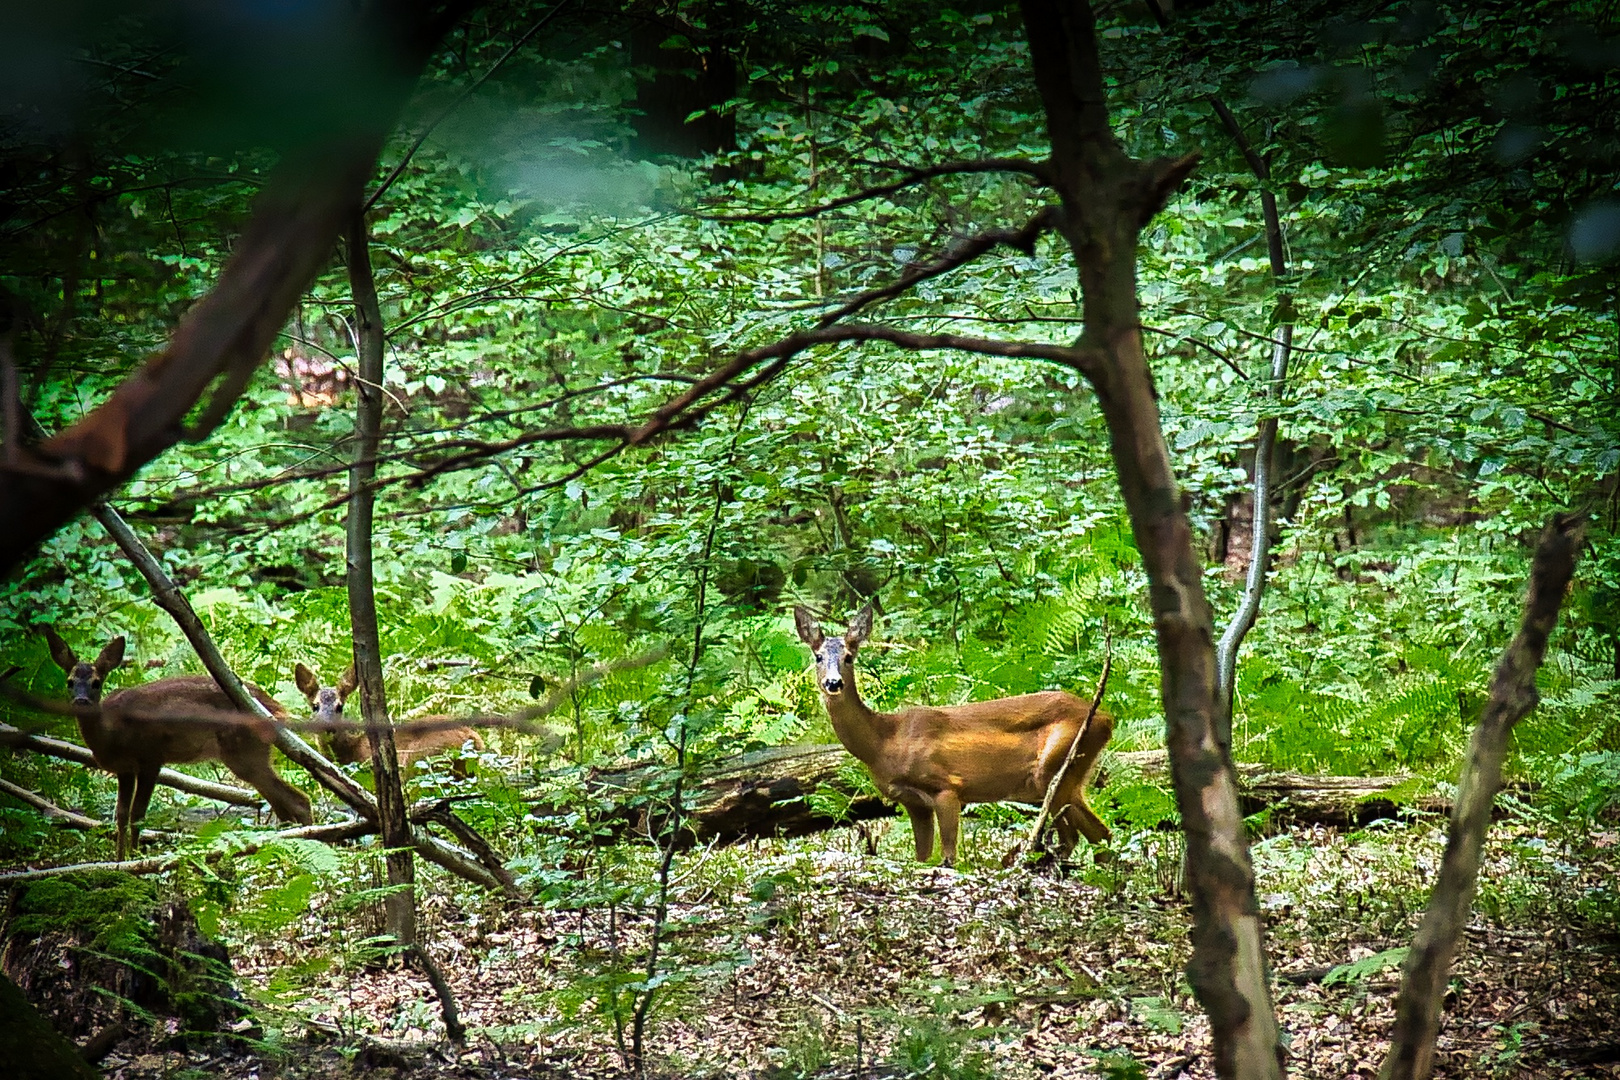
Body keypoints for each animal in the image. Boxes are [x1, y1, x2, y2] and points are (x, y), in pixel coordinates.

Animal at [41, 625, 312, 861]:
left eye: (96, 683)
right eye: (70, 682)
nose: (81, 701)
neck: (111, 735)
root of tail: (274, 708)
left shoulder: (151, 758)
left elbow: (138, 814)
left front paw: (135, 858)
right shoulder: (125, 769)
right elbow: (121, 814)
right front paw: (117, 861)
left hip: (244, 752)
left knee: (299, 800)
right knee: (283, 805)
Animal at [294, 663, 479, 773]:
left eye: (339, 707)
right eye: (315, 706)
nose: (327, 727)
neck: (351, 750)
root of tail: (475, 739)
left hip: (426, 758)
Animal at [790, 608, 1108, 867]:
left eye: (848, 657)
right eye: (818, 657)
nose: (833, 683)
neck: (885, 741)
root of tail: (1106, 718)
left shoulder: (947, 786)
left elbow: (948, 858)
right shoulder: (913, 803)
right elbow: (921, 857)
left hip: (1054, 768)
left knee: (1077, 837)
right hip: (1070, 780)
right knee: (1101, 835)